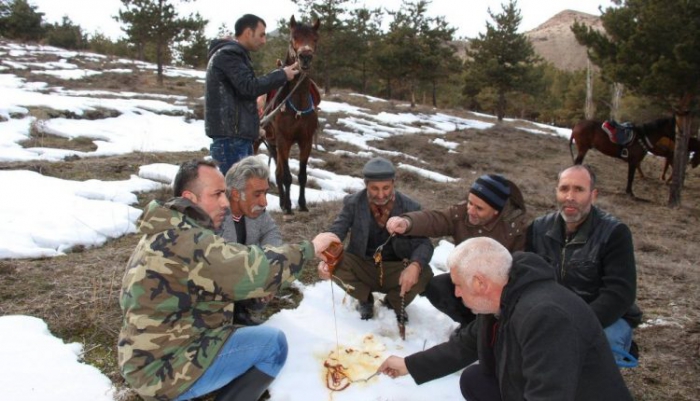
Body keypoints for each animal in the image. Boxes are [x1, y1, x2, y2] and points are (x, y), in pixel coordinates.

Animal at [262, 15, 320, 214]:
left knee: (277, 172)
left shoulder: (306, 141)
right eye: (292, 38)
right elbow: (287, 176)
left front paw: (302, 204)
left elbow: (302, 175)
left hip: (274, 146)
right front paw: (288, 207)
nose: (305, 57)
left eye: (315, 39)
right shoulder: (284, 140)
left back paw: (281, 201)